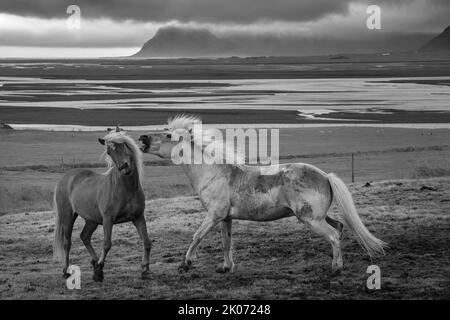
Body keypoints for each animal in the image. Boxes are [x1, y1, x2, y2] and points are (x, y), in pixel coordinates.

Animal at [52, 129, 151, 282]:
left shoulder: (138, 217)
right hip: (67, 217)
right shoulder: (108, 219)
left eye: (124, 145)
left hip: (92, 220)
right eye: (109, 152)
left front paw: (145, 270)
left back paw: (94, 262)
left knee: (85, 236)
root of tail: (65, 178)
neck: (126, 189)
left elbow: (146, 242)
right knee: (67, 243)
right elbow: (107, 244)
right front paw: (99, 271)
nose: (124, 168)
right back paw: (66, 271)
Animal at [141, 116, 386, 274]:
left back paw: (336, 268)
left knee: (334, 235)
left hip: (311, 220)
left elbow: (197, 236)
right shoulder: (225, 218)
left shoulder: (213, 216)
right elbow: (226, 242)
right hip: (319, 217)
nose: (142, 138)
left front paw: (186, 264)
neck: (213, 173)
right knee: (339, 228)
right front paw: (226, 267)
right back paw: (337, 262)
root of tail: (325, 176)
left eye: (167, 135)